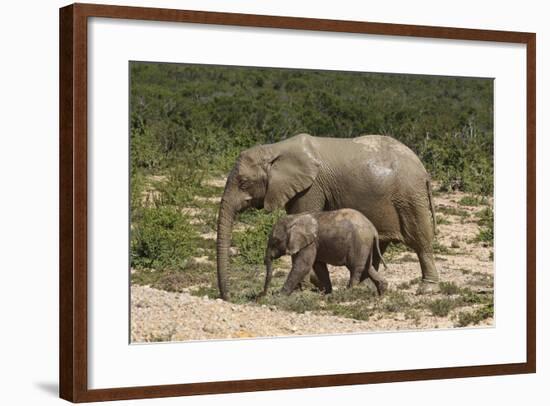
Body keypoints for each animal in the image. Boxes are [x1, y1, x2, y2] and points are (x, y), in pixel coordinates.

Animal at [218, 132, 438, 298]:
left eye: (244, 183)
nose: (228, 297)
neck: (274, 149)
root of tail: (423, 170)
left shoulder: (311, 187)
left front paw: (305, 288)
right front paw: (315, 285)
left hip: (410, 197)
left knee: (420, 240)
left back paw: (426, 288)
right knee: (380, 246)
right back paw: (366, 288)